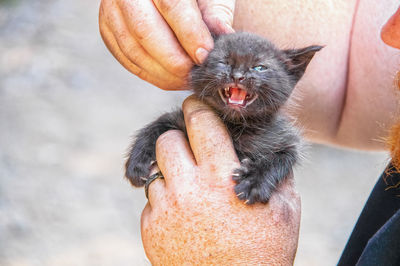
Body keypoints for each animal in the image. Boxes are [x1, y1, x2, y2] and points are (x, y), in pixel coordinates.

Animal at [125, 32, 322, 204]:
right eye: (224, 62)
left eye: (259, 67)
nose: (237, 76)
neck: (234, 124)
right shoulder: (178, 120)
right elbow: (156, 125)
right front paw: (136, 162)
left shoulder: (284, 139)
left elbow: (280, 158)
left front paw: (253, 181)